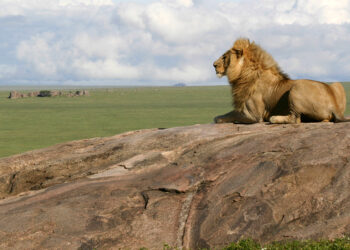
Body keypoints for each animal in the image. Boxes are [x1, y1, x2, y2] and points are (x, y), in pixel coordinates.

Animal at [213, 38, 348, 124]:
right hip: (337, 84)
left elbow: (229, 116)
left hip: (297, 88)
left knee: (295, 119)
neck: (244, 74)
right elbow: (228, 113)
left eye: (224, 57)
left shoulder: (254, 115)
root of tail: (334, 106)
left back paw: (274, 118)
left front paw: (223, 119)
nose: (213, 65)